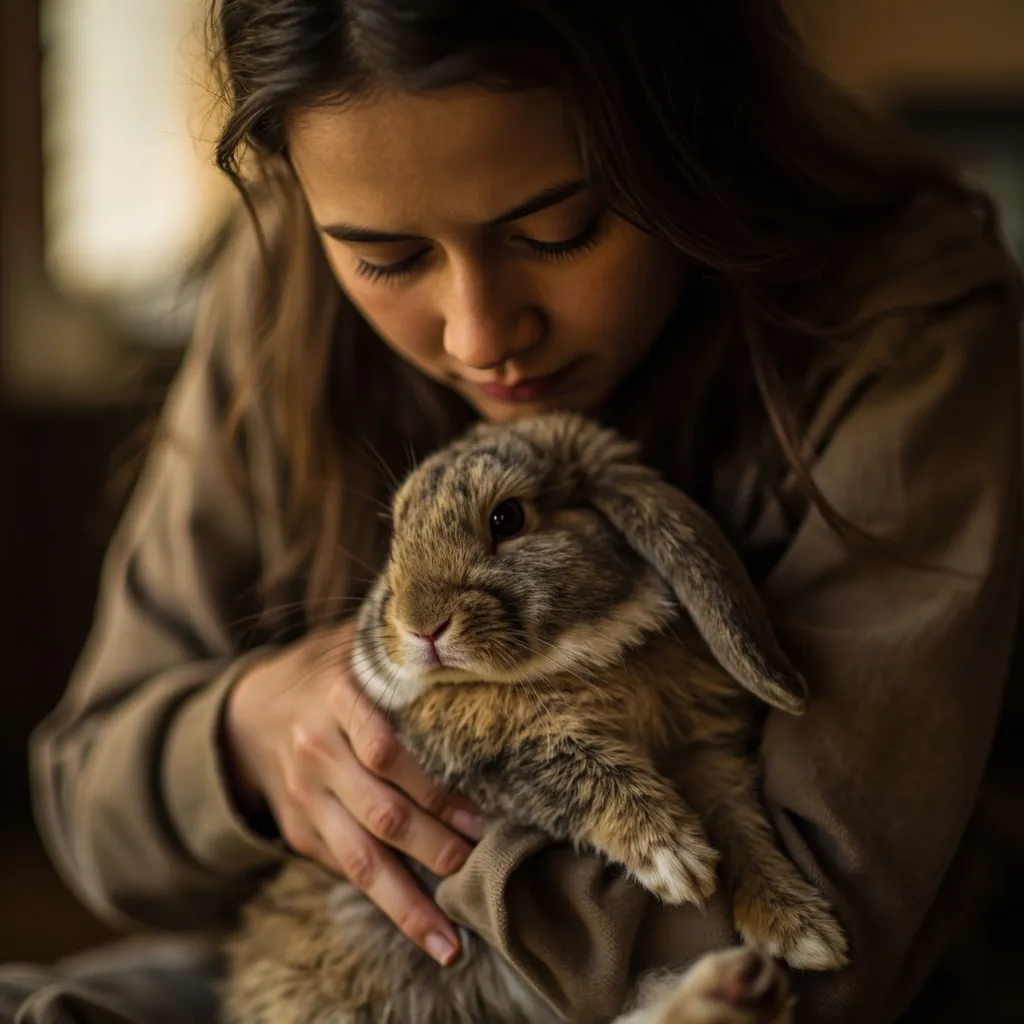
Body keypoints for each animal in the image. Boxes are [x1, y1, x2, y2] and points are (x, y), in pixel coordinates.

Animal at [222, 411, 846, 1024]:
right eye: (398, 532)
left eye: (508, 518)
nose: (420, 625)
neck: (573, 661)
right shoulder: (491, 762)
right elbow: (571, 766)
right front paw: (675, 859)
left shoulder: (704, 750)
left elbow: (739, 820)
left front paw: (801, 930)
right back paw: (730, 993)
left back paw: (742, 990)